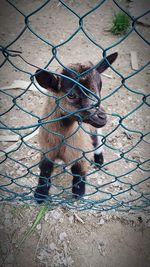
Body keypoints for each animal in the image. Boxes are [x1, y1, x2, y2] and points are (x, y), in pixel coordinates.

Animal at [34, 52, 118, 203]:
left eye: (100, 86)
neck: (62, 138)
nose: (102, 117)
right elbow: (45, 169)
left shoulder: (80, 150)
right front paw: (40, 194)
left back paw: (99, 160)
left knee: (98, 138)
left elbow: (78, 172)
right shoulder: (46, 149)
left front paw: (78, 194)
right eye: (71, 95)